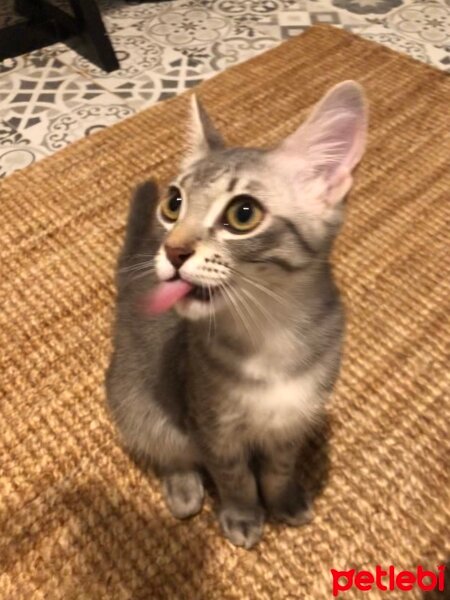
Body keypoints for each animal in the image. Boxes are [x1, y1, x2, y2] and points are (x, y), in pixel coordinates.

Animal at [107, 82, 368, 552]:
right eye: (174, 204)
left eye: (242, 214)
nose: (172, 250)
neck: (271, 334)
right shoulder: (213, 428)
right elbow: (235, 478)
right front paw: (244, 515)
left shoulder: (294, 421)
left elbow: (278, 469)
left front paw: (284, 500)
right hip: (139, 404)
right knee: (164, 446)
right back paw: (183, 487)